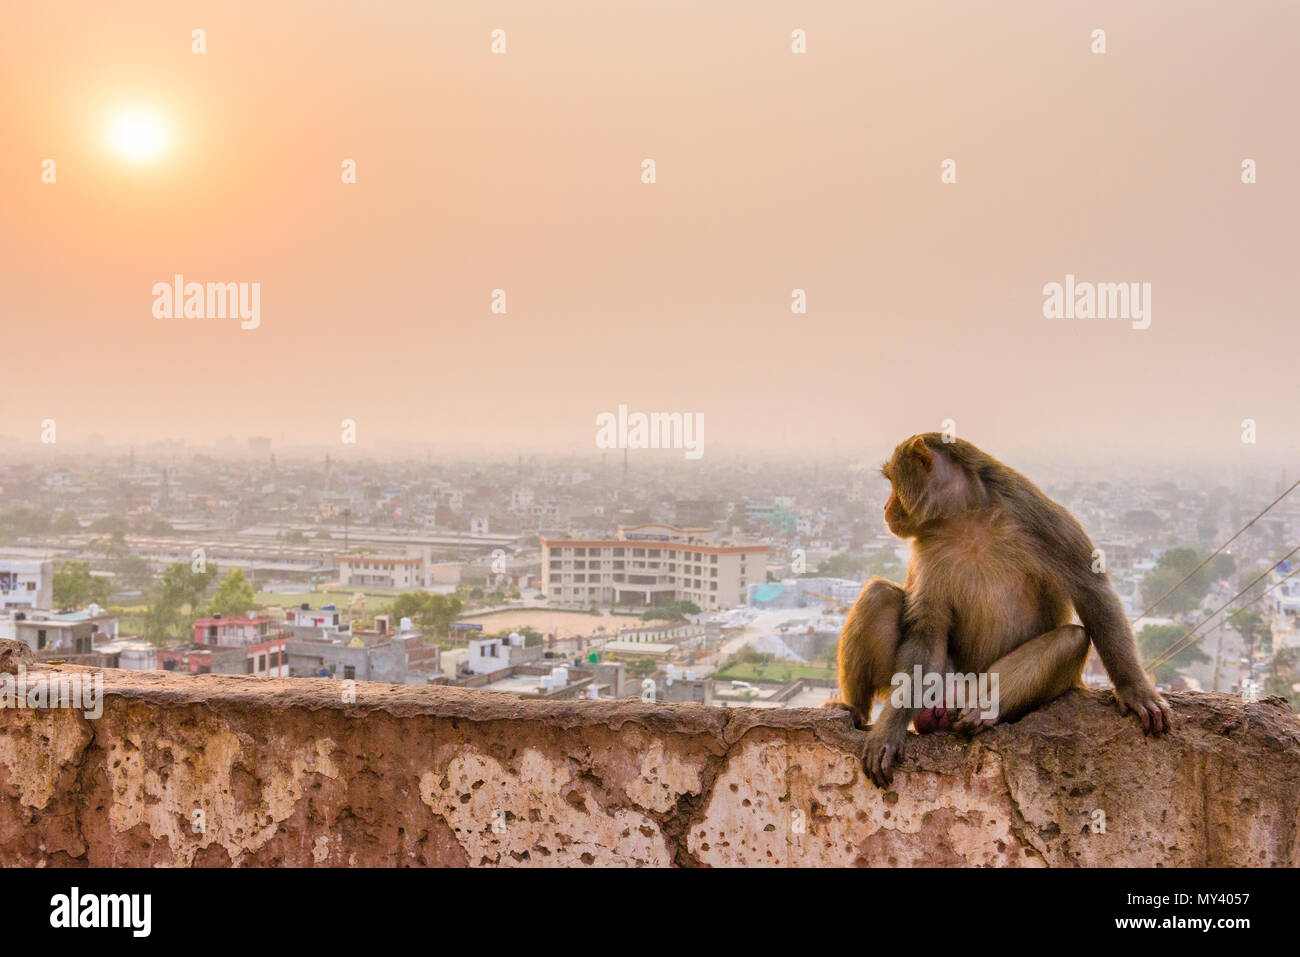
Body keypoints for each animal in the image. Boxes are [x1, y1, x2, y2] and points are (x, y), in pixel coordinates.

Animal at [837, 434, 1175, 785]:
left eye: (893, 482)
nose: (885, 508)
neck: (965, 515)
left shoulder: (1043, 518)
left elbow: (1092, 593)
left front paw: (1135, 690)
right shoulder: (926, 546)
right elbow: (926, 630)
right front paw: (888, 731)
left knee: (1071, 640)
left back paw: (983, 710)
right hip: (933, 685)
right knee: (879, 595)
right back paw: (857, 709)